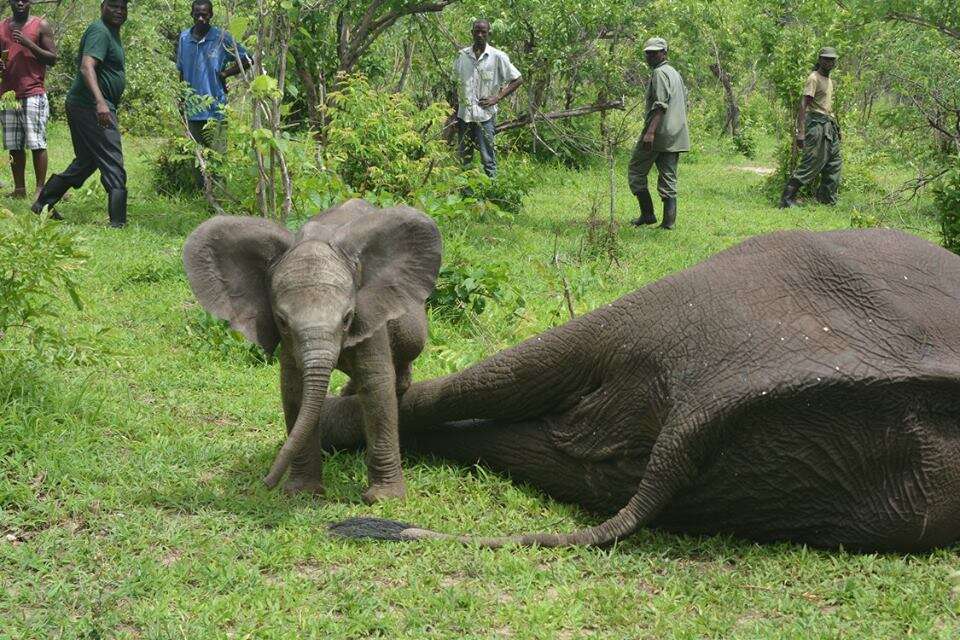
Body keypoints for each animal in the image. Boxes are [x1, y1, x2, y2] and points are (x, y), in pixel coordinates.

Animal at [182, 198, 440, 502]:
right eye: (282, 320)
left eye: (347, 318)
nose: (267, 483)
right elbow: (295, 390)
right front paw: (302, 493)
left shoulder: (369, 315)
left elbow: (377, 388)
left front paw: (383, 499)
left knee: (409, 346)